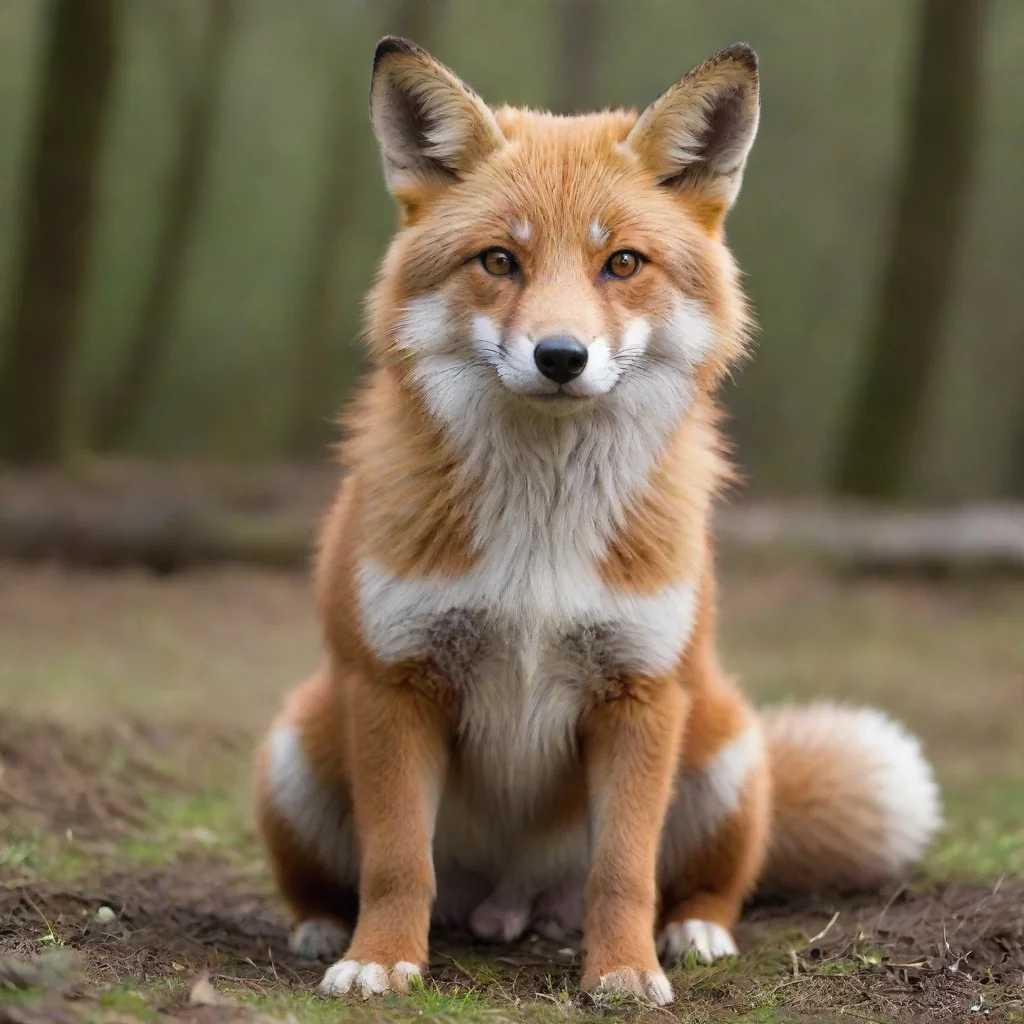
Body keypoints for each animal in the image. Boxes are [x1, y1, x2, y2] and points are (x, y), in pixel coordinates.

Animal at [254, 37, 942, 1005]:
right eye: (499, 261)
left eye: (621, 264)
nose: (560, 357)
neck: (542, 529)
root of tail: (507, 901)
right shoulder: (394, 681)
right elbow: (396, 863)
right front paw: (382, 959)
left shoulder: (640, 692)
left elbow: (624, 870)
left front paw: (621, 972)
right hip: (299, 748)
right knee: (338, 879)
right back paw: (324, 927)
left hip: (725, 749)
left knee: (704, 884)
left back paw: (692, 933)